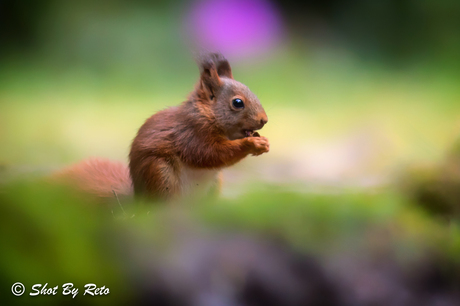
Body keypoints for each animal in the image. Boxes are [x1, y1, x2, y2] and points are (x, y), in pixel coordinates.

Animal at [54, 52, 270, 201]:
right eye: (237, 103)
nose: (264, 120)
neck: (207, 115)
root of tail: (139, 202)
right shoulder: (190, 134)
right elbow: (209, 153)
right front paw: (251, 144)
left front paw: (262, 141)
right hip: (160, 174)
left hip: (214, 184)